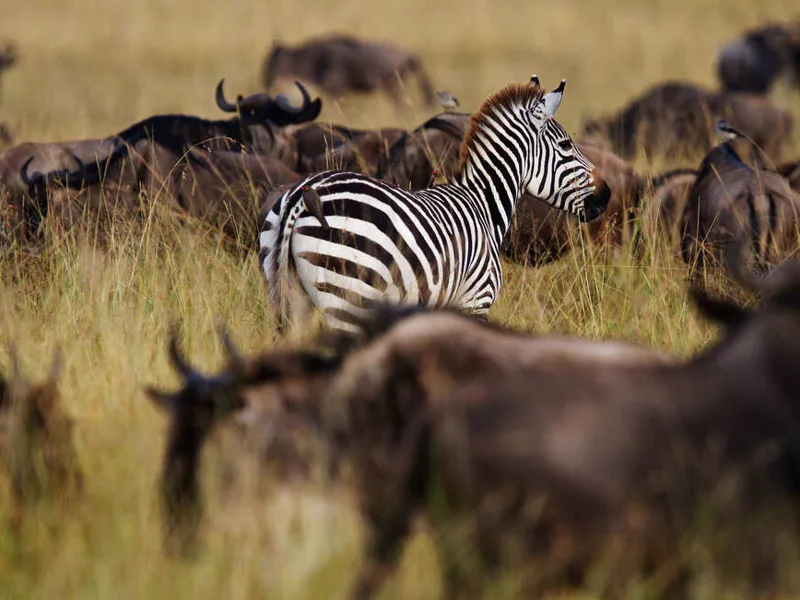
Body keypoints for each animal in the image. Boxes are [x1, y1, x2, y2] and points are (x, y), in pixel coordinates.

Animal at [259, 76, 611, 332]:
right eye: (565, 145)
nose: (606, 194)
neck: (483, 206)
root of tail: (303, 194)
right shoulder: (475, 300)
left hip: (295, 294)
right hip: (348, 296)